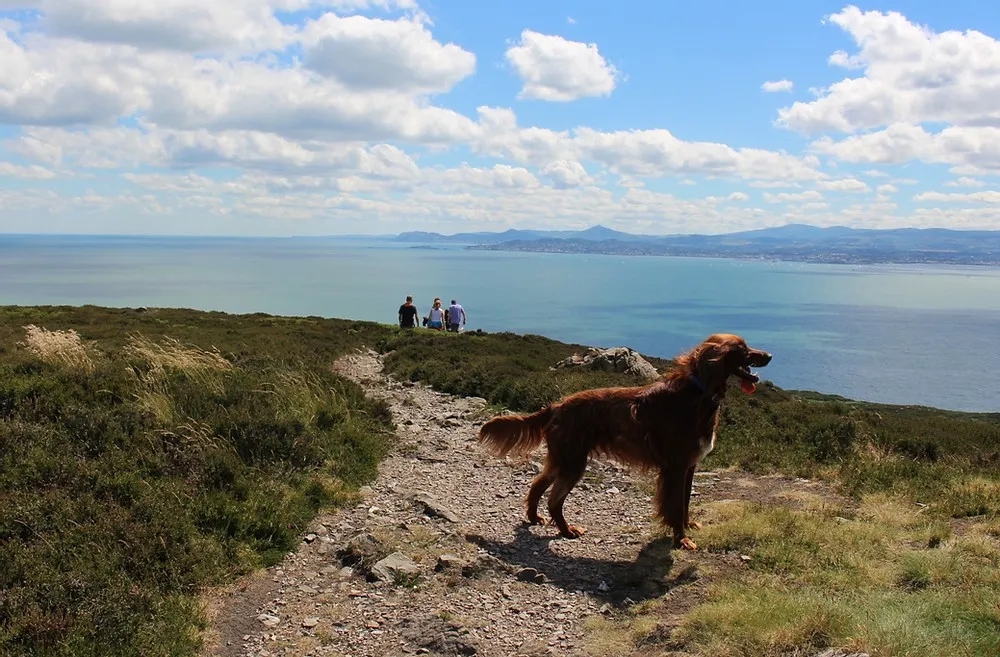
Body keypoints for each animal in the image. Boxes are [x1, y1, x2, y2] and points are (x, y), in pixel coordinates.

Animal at [476, 334, 772, 548]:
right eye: (742, 349)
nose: (769, 355)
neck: (696, 395)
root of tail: (556, 405)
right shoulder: (676, 469)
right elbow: (675, 506)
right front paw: (681, 539)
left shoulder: (689, 467)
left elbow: (685, 503)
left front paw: (688, 526)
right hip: (573, 462)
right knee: (554, 500)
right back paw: (566, 530)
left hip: (563, 458)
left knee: (538, 485)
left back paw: (534, 517)